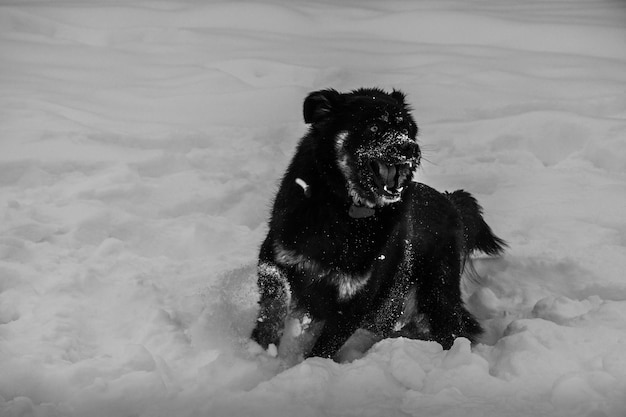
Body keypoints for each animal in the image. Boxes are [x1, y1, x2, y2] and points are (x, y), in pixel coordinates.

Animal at [249, 88, 502, 364]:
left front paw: (308, 366)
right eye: (373, 127)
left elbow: (324, 348)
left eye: (406, 128)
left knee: (451, 331)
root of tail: (451, 201)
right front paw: (260, 345)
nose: (410, 147)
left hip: (436, 291)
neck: (343, 207)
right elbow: (276, 298)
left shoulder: (358, 297)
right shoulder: (274, 254)